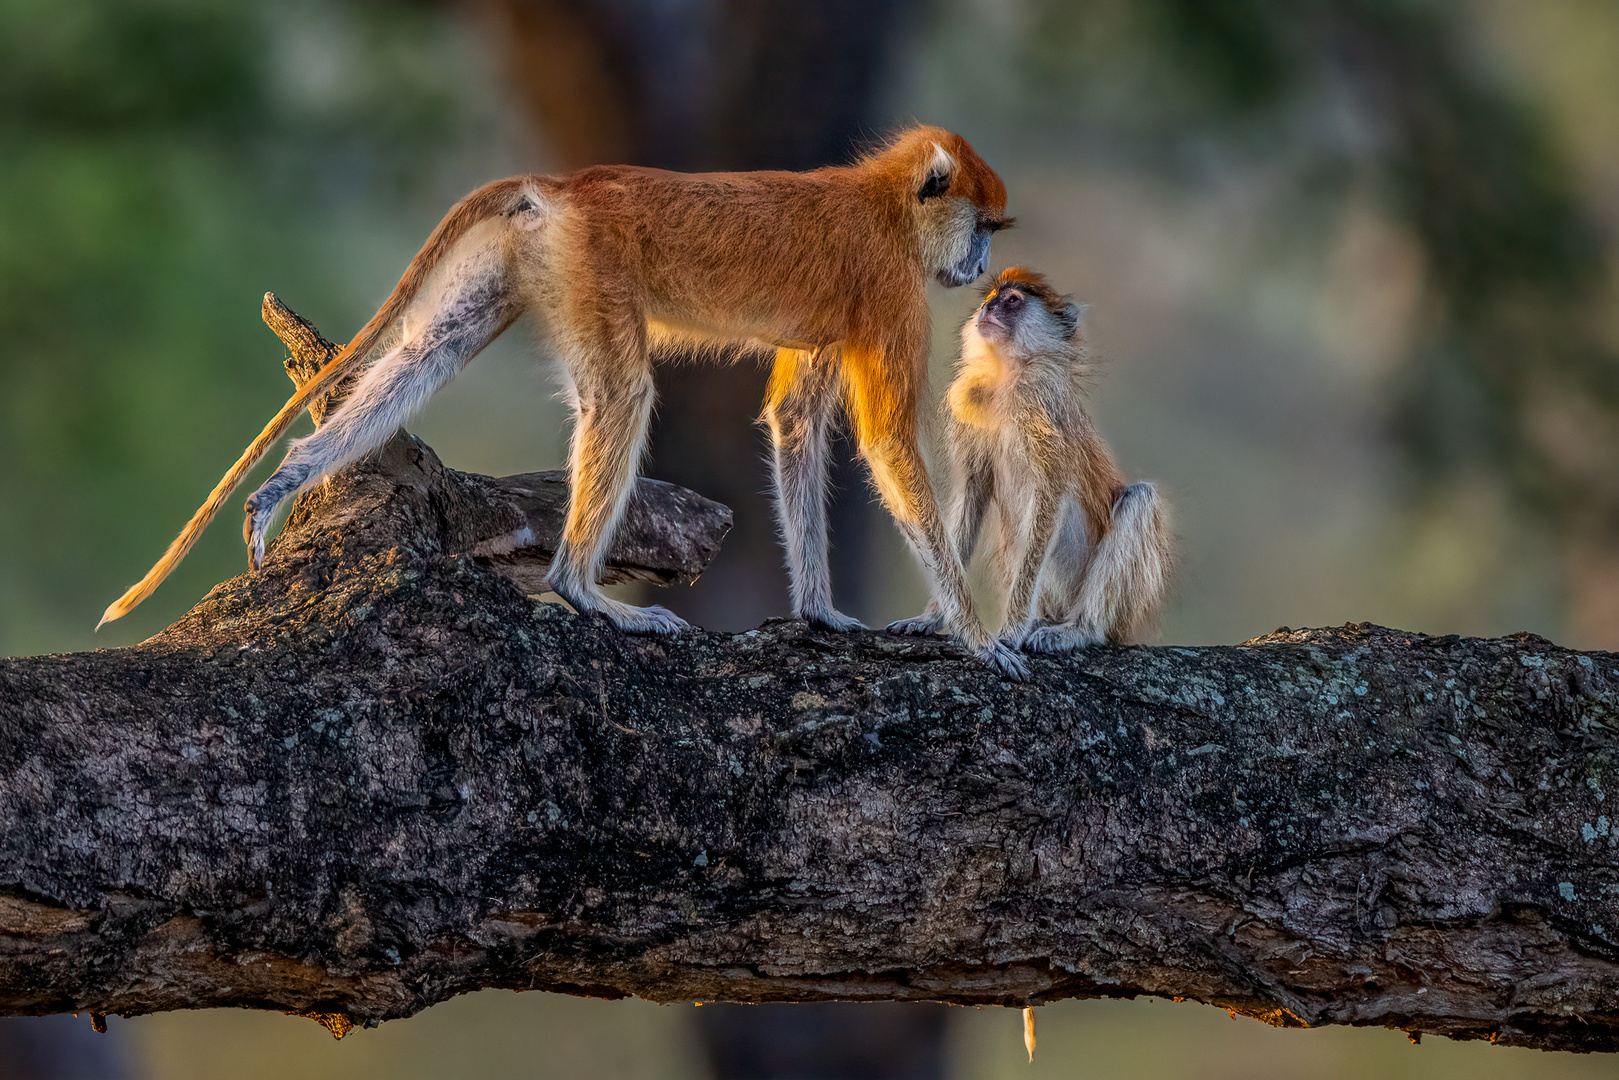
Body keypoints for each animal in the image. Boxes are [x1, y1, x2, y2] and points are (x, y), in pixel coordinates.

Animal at [101, 127, 1029, 676]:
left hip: (536, 259)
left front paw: (820, 614)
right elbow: (885, 439)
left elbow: (797, 423)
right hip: (593, 263)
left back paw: (288, 479)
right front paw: (975, 637)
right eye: (980, 227)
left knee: (432, 351)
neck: (883, 203)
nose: (977, 267)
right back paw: (579, 591)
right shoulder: (887, 287)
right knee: (622, 392)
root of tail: (565, 187)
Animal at [893, 265, 1172, 654]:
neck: (1006, 374)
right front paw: (932, 617)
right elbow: (972, 494)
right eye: (991, 296)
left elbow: (1050, 496)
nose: (988, 308)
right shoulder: (971, 398)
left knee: (1139, 500)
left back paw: (1080, 629)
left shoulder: (1038, 395)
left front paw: (1012, 629)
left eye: (1012, 300)